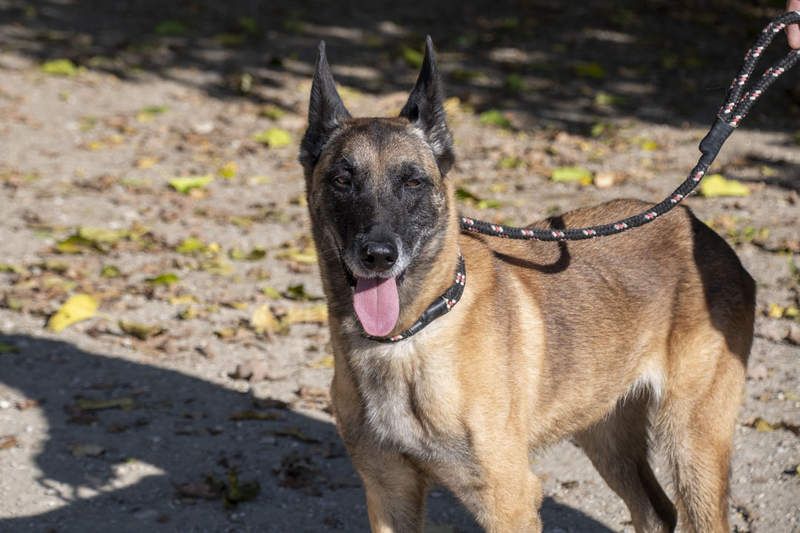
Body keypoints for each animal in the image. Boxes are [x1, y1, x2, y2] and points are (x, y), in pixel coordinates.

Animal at [299, 37, 755, 533]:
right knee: (656, 512)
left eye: (413, 182)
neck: (407, 338)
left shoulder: (508, 500)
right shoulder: (389, 493)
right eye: (342, 180)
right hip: (605, 431)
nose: (379, 255)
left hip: (692, 442)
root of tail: (700, 229)